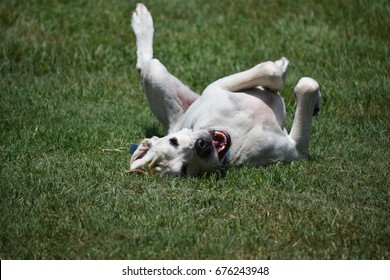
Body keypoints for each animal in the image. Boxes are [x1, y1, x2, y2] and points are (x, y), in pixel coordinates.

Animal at [128, 3, 320, 176]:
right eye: (184, 170)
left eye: (173, 141)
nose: (201, 146)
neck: (233, 133)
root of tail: (174, 124)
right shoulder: (296, 150)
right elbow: (306, 85)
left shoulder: (217, 87)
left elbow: (269, 70)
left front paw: (281, 67)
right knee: (142, 65)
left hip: (158, 73)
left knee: (145, 63)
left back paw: (142, 19)